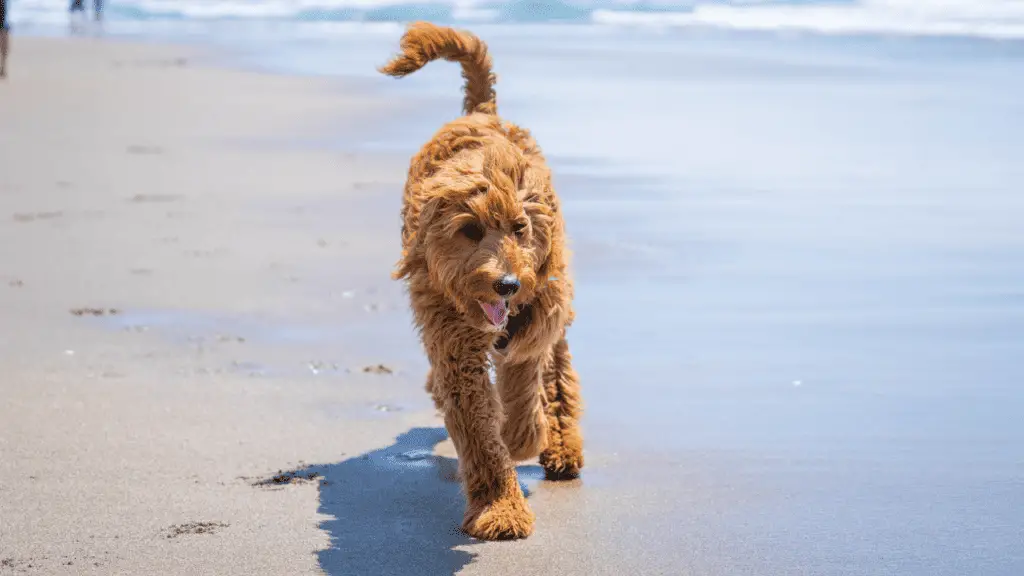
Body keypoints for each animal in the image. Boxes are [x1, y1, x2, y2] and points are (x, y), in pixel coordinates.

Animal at [378, 21, 585, 537]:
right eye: (469, 230)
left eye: (520, 228)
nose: (507, 285)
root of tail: (481, 111)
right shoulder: (455, 343)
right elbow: (477, 427)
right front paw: (500, 506)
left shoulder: (538, 312)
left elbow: (526, 377)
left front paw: (524, 436)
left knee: (557, 370)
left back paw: (560, 444)